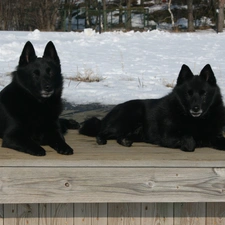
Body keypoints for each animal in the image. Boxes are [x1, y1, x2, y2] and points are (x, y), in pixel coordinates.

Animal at [79, 65, 225, 153]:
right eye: (188, 94)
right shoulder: (168, 135)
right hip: (130, 117)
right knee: (102, 132)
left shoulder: (215, 135)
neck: (196, 120)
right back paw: (102, 139)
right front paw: (190, 143)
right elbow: (189, 140)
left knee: (119, 137)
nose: (195, 109)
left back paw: (125, 141)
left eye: (203, 93)